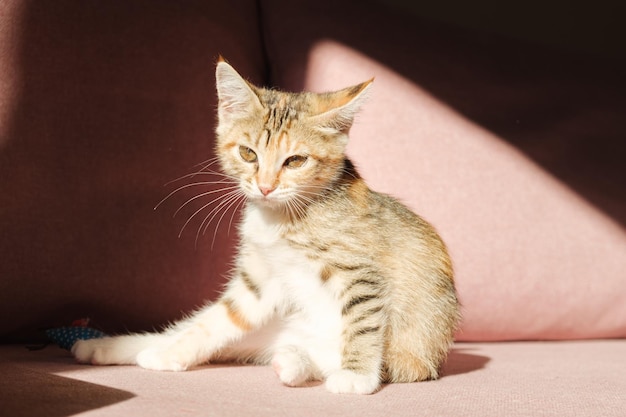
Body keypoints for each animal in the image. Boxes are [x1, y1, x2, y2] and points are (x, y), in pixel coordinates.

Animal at [73, 57, 458, 394]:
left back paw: (294, 362)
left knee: (325, 355)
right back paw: (114, 347)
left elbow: (363, 324)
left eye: (296, 160)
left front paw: (357, 376)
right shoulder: (259, 281)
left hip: (413, 355)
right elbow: (218, 320)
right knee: (194, 325)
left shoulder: (361, 272)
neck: (282, 219)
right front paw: (170, 353)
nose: (266, 187)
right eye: (248, 154)